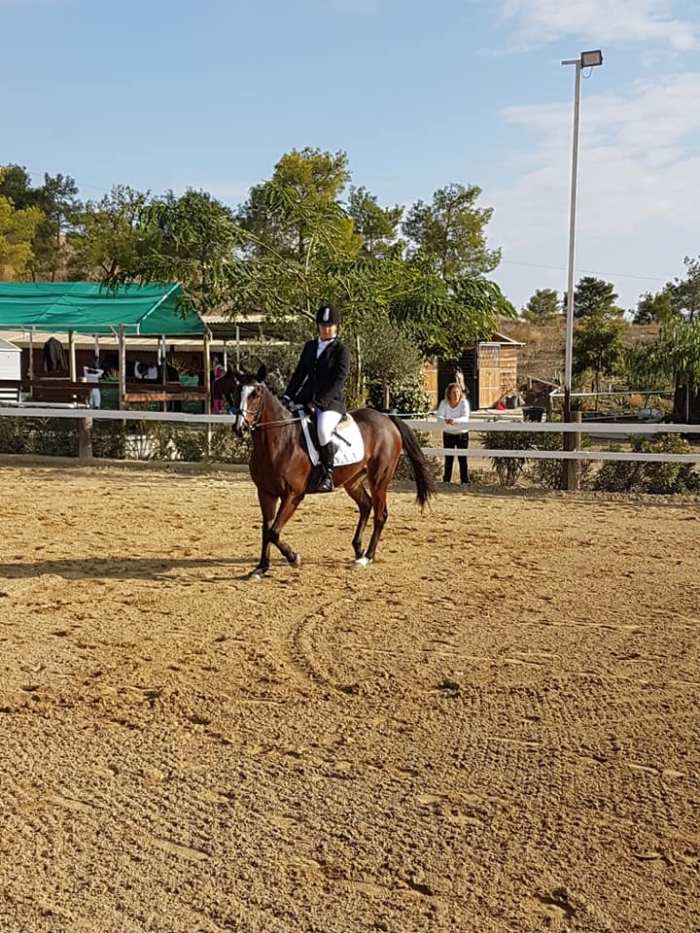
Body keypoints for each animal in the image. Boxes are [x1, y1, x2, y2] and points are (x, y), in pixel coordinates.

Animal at [218, 366, 435, 579]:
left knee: (380, 514)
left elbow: (273, 531)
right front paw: (261, 568)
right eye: (237, 392)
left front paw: (293, 557)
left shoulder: (293, 495)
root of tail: (385, 418)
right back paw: (359, 551)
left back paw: (367, 557)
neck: (278, 441)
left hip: (379, 479)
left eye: (256, 394)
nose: (239, 428)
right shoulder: (265, 493)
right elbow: (266, 530)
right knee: (366, 506)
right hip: (353, 481)